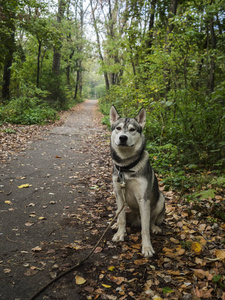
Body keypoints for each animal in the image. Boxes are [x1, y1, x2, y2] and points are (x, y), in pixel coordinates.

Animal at [110, 105, 164, 258]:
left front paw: (147, 247)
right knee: (120, 215)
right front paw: (120, 234)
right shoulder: (119, 194)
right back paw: (116, 224)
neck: (127, 167)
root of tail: (136, 220)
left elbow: (145, 229)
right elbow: (122, 218)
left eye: (132, 129)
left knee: (151, 221)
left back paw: (155, 227)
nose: (123, 137)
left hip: (161, 199)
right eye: (118, 128)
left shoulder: (143, 199)